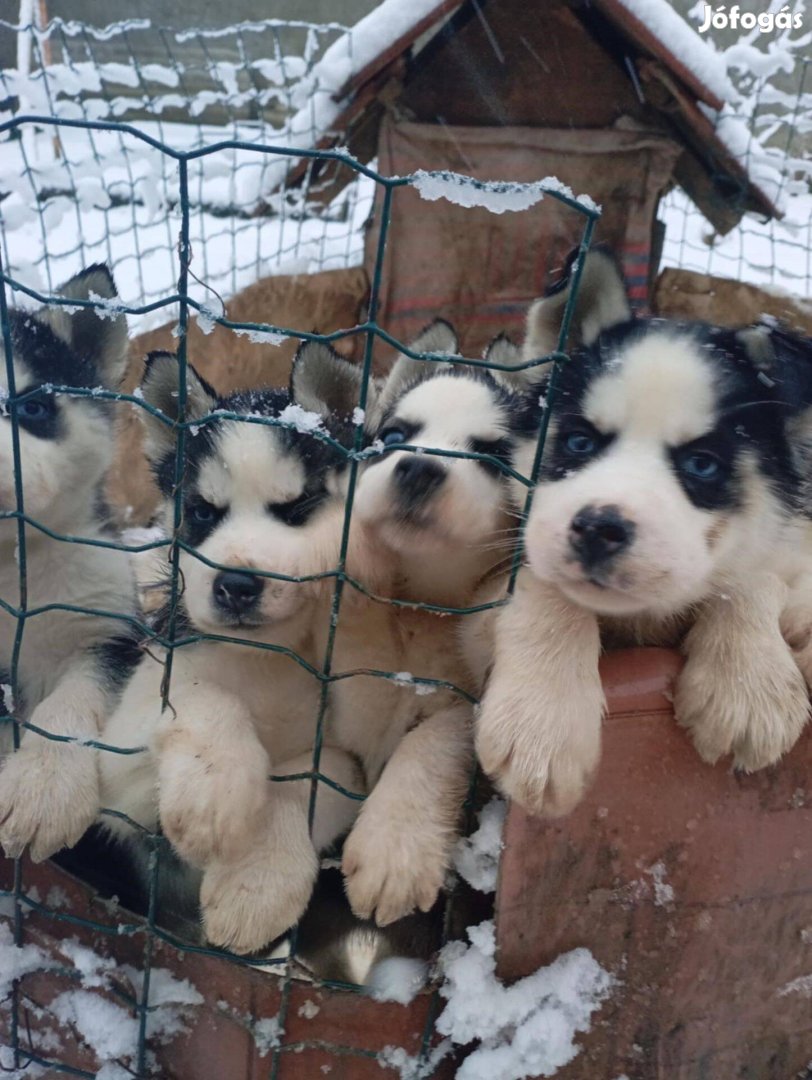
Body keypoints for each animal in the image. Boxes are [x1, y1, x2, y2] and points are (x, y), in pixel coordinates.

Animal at [468, 247, 812, 816]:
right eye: (579, 443)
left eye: (701, 464)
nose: (598, 529)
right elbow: (544, 584)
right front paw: (543, 723)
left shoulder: (778, 542)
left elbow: (750, 576)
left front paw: (747, 687)